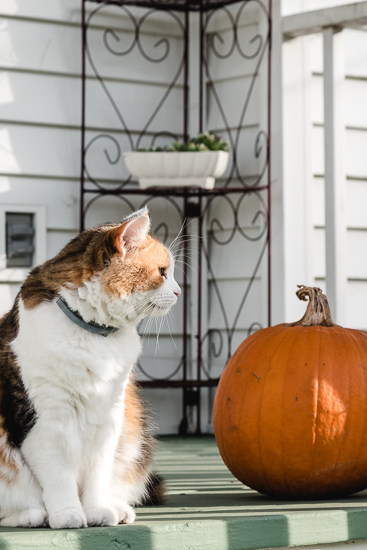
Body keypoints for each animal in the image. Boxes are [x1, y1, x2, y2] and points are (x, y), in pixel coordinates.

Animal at [0, 208, 180, 532]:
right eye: (162, 271)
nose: (179, 291)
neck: (94, 335)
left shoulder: (108, 417)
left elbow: (97, 475)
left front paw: (98, 511)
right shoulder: (43, 420)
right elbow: (58, 476)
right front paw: (68, 515)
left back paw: (118, 508)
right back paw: (31, 515)